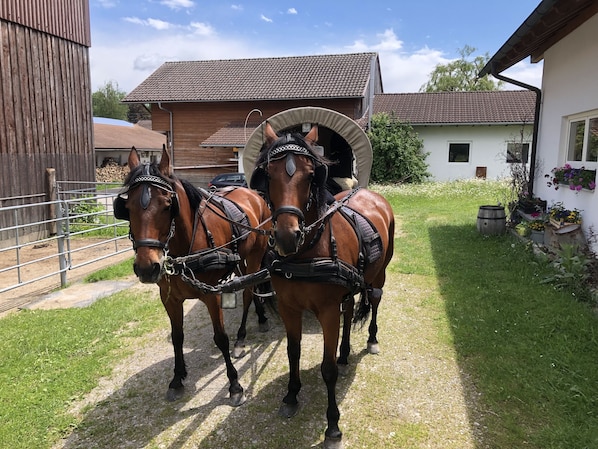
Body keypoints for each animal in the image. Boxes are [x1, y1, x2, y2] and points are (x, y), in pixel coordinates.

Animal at [113, 146, 272, 402]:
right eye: (126, 208)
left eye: (168, 205)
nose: (147, 268)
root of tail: (254, 194)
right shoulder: (169, 298)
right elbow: (177, 337)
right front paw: (177, 378)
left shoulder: (213, 294)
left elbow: (220, 337)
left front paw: (234, 384)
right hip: (240, 260)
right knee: (250, 285)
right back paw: (260, 317)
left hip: (257, 253)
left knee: (249, 291)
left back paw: (241, 337)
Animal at [251, 122, 396, 448]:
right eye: (268, 175)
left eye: (310, 175)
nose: (287, 236)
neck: (305, 253)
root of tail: (367, 192)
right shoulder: (288, 307)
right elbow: (292, 351)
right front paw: (291, 395)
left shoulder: (327, 311)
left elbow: (327, 369)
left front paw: (333, 426)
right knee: (350, 306)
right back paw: (344, 351)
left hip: (379, 273)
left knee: (375, 299)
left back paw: (372, 340)